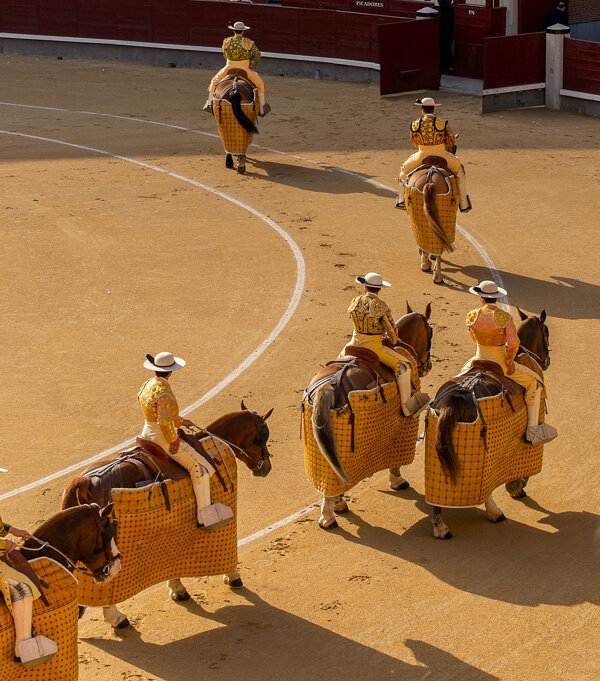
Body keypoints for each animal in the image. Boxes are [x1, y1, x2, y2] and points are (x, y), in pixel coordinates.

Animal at [60, 404, 272, 628]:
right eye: (261, 437)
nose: (266, 467)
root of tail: (83, 481)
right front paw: (233, 576)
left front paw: (177, 589)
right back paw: (117, 617)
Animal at [304, 304, 432, 532]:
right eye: (431, 332)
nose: (428, 366)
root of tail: (328, 388)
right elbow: (395, 460)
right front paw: (397, 481)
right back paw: (329, 517)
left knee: (331, 473)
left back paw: (336, 506)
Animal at [428, 308, 552, 536]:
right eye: (546, 332)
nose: (546, 360)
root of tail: (455, 399)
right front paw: (516, 487)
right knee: (484, 487)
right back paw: (494, 512)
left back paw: (440, 525)